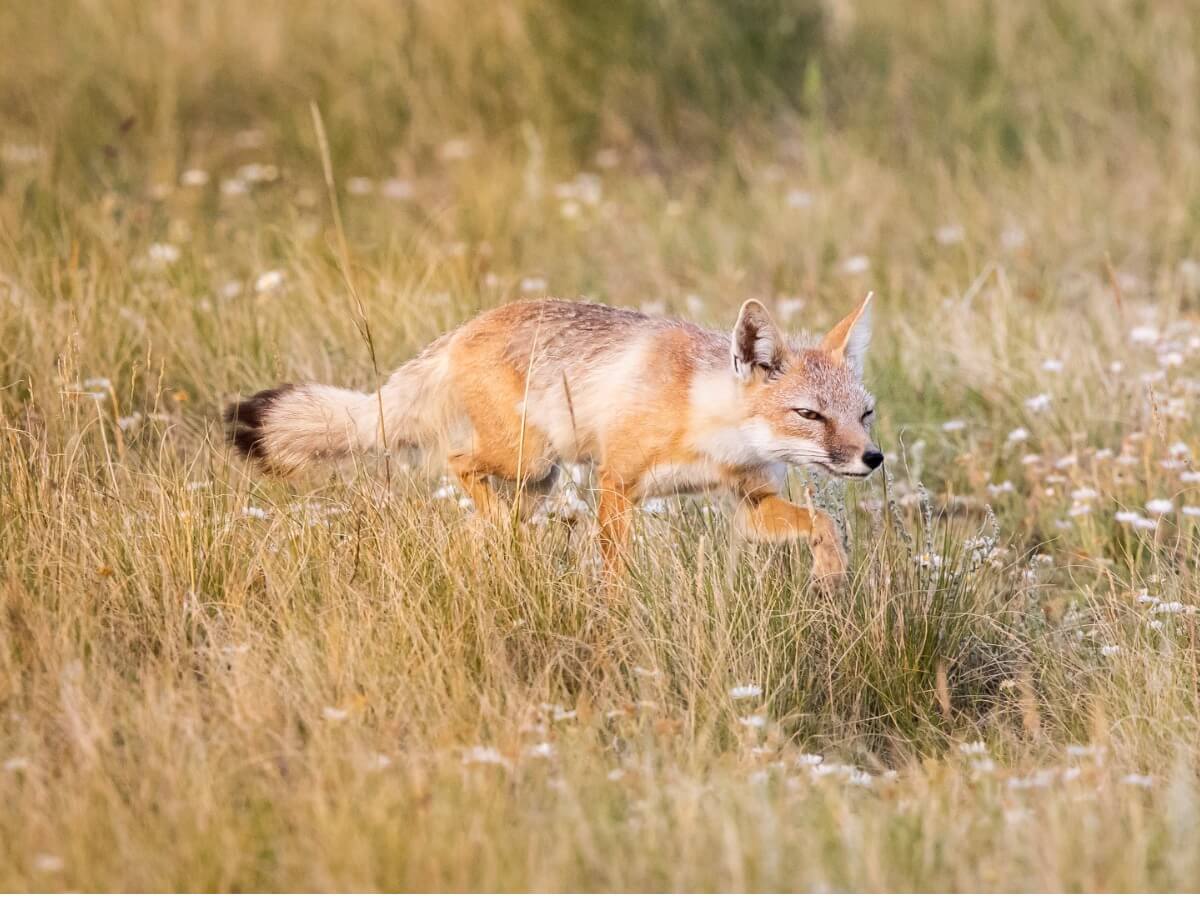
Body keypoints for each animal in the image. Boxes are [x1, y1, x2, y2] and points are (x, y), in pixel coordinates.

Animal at [225, 294, 883, 585]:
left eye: (865, 414)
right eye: (809, 414)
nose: (872, 459)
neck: (706, 422)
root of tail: (462, 329)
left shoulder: (750, 503)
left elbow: (826, 524)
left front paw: (830, 574)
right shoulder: (617, 484)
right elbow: (615, 570)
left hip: (536, 481)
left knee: (471, 523)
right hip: (529, 462)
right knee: (457, 463)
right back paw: (499, 532)